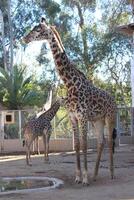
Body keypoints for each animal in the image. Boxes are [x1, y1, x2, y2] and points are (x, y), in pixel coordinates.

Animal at [22, 18, 116, 184]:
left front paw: (85, 178)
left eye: (38, 29)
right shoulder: (73, 117)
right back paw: (95, 175)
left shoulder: (82, 116)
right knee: (101, 142)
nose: (24, 38)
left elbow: (84, 145)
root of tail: (114, 100)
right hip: (98, 120)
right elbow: (77, 145)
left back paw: (110, 174)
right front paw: (78, 176)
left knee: (110, 141)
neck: (70, 84)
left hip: (110, 118)